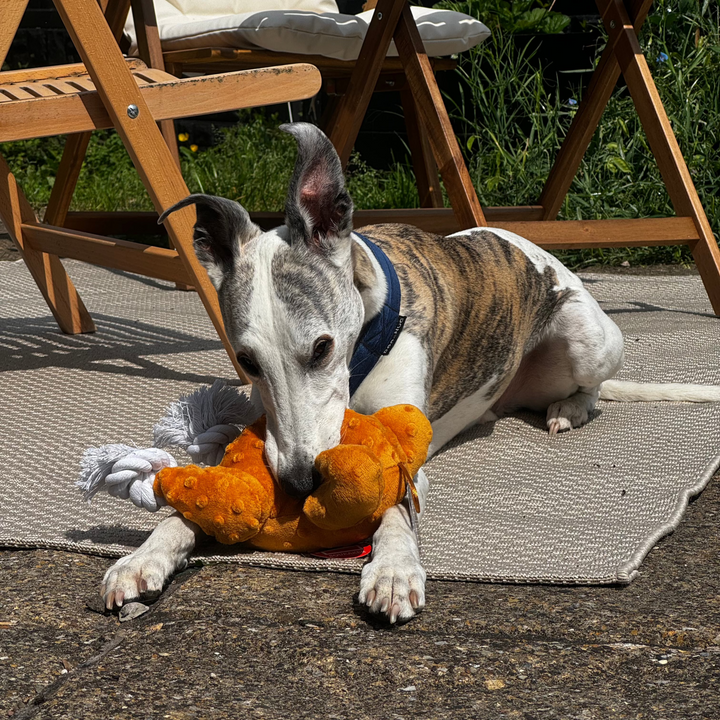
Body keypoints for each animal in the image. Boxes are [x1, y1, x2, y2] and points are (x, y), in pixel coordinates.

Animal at [100, 121, 720, 620]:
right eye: (247, 360)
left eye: (321, 348)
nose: (299, 484)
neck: (368, 337)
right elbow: (194, 500)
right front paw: (145, 554)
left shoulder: (402, 446)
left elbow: (396, 505)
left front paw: (394, 570)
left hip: (586, 337)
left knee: (592, 389)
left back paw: (568, 408)